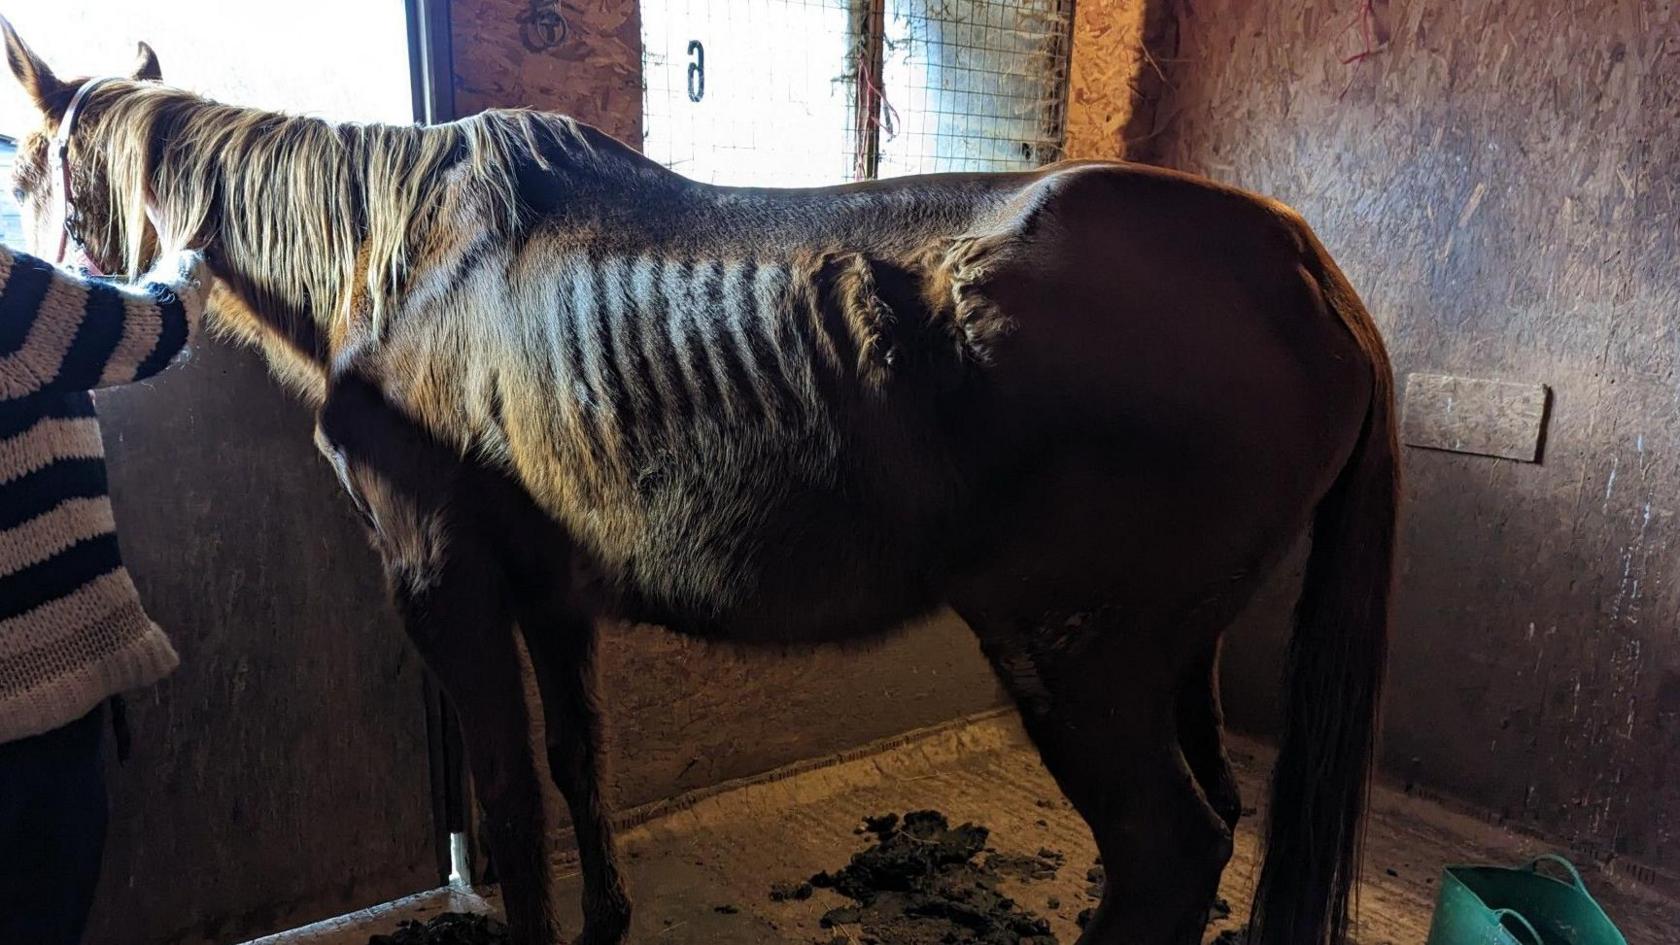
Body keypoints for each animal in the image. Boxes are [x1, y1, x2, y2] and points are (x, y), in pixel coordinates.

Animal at [6, 20, 1397, 941]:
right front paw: (609, 923)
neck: (404, 260)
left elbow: (510, 802)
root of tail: (1309, 271)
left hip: (1080, 657)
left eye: (33, 162)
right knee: (1216, 817)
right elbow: (578, 764)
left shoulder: (441, 585)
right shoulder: (549, 593)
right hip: (1177, 654)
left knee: (1169, 849)